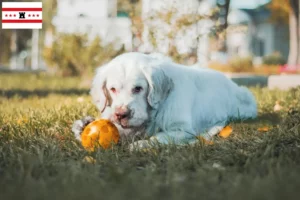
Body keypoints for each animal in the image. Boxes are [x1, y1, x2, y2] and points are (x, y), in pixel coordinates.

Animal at [71, 52, 256, 149]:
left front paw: (139, 145)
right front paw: (82, 127)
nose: (121, 114)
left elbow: (159, 137)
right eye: (113, 89)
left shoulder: (182, 129)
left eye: (138, 88)